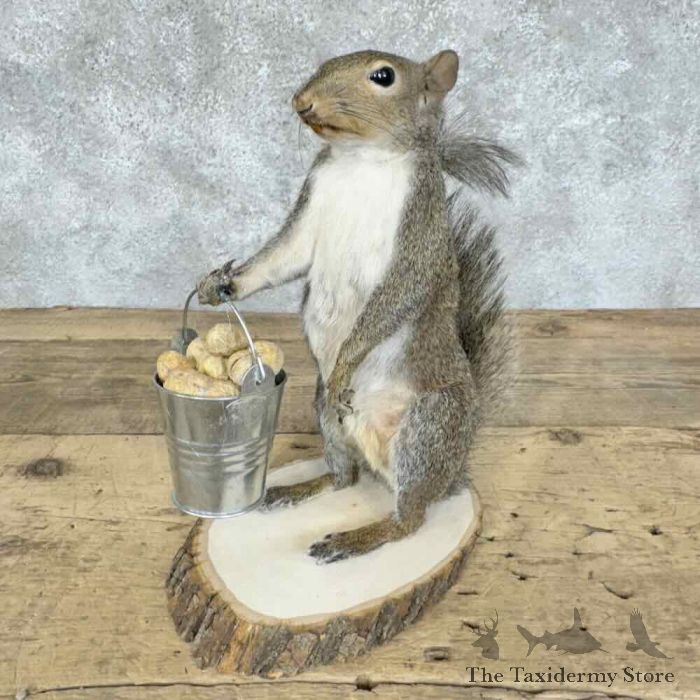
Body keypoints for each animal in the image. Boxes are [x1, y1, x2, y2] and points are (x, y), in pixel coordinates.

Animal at [197, 49, 519, 563]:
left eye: (383, 76)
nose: (302, 102)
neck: (360, 159)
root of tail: (453, 474)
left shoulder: (417, 236)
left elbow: (395, 297)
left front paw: (347, 362)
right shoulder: (310, 209)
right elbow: (280, 259)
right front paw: (222, 284)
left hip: (430, 425)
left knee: (410, 518)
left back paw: (357, 537)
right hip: (326, 414)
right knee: (343, 477)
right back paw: (298, 489)